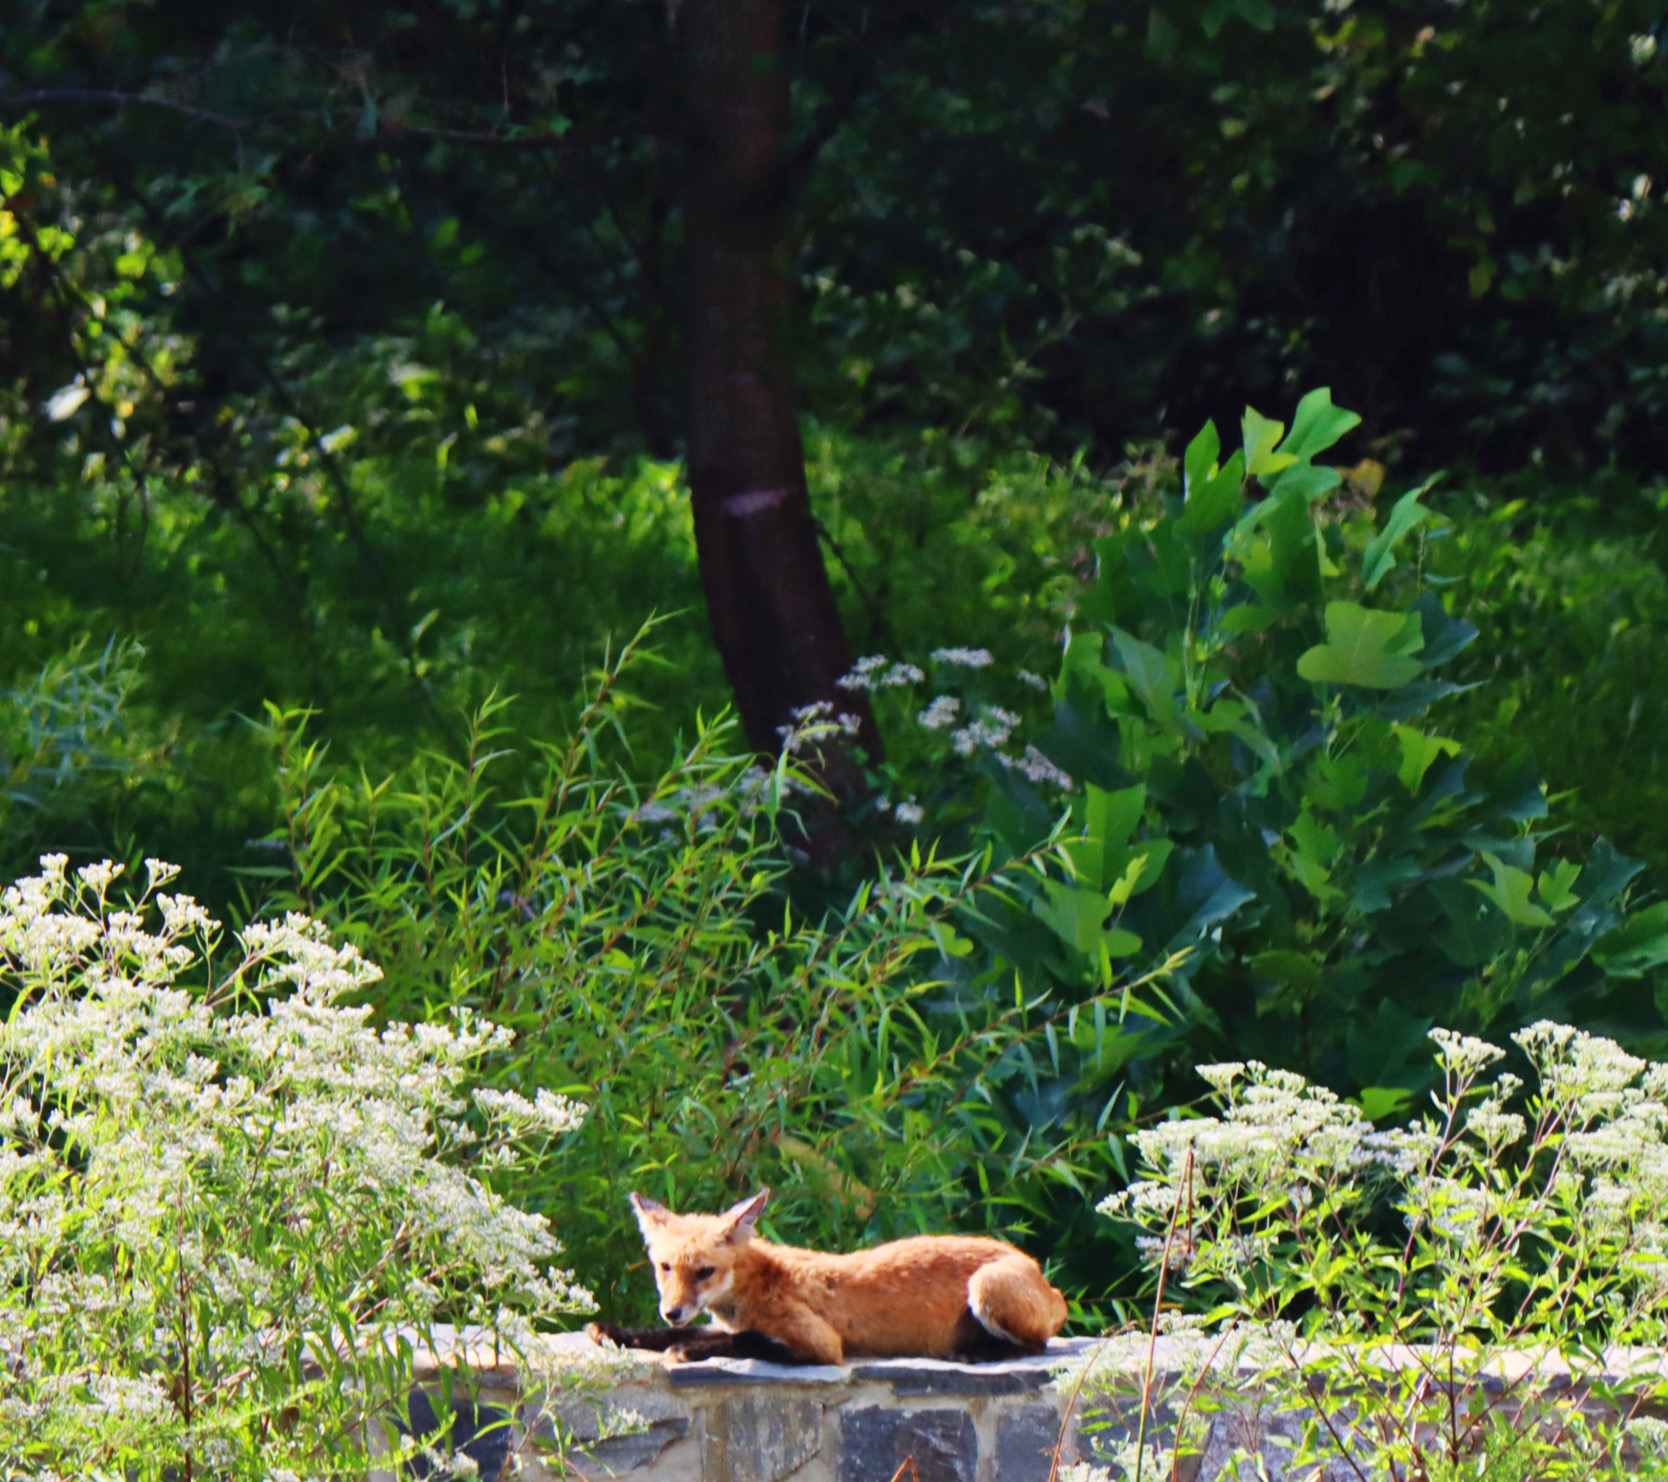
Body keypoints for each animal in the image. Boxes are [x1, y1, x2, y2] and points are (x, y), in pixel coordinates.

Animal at [584, 1187, 1069, 1366]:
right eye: (666, 1268)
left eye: (705, 1272)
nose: (672, 1310)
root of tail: (1042, 1273)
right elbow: (664, 1335)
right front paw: (614, 1331)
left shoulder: (821, 1343)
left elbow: (748, 1341)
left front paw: (689, 1349)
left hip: (986, 1289)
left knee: (1036, 1346)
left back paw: (977, 1352)